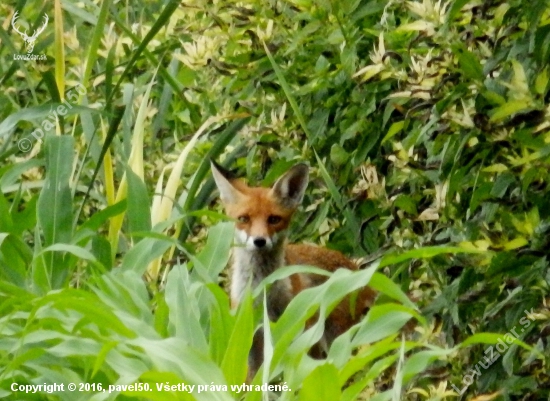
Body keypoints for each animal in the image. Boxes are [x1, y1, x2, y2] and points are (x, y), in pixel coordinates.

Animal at [211, 160, 380, 378]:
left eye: (274, 219)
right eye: (243, 219)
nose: (259, 241)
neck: (263, 293)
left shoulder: (299, 334)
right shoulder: (249, 343)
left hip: (334, 337)